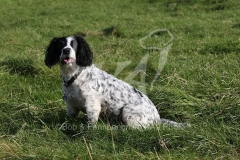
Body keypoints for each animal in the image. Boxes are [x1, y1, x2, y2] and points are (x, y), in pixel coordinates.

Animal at [45, 35, 188, 128]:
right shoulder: (71, 105)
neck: (74, 75)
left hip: (127, 112)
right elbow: (68, 119)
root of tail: (157, 117)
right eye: (60, 45)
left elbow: (91, 124)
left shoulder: (92, 105)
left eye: (74, 44)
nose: (66, 50)